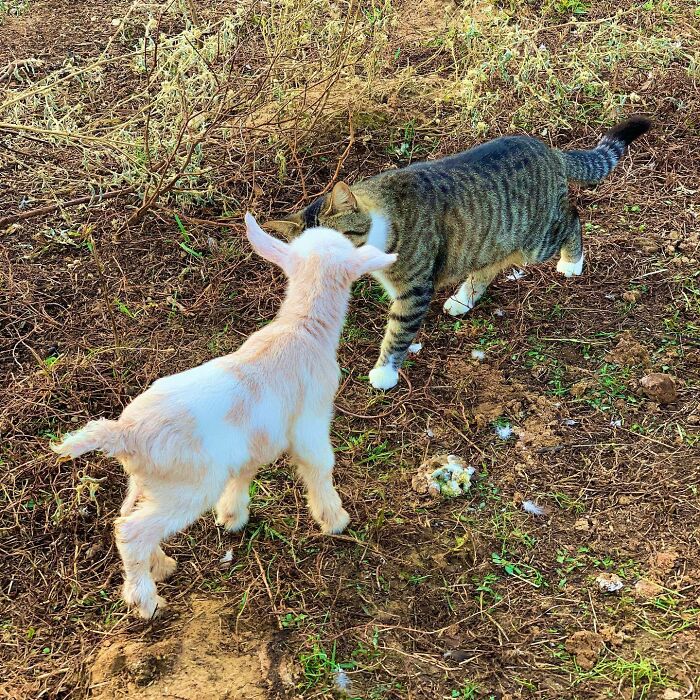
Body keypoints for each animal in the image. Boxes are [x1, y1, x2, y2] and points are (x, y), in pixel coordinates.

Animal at [52, 213, 397, 618]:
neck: (302, 326)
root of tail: (122, 432)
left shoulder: (253, 440)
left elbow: (245, 472)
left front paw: (232, 516)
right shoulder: (310, 421)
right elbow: (319, 466)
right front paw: (334, 519)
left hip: (150, 483)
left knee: (127, 519)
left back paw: (161, 566)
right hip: (188, 487)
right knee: (132, 533)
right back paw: (146, 600)